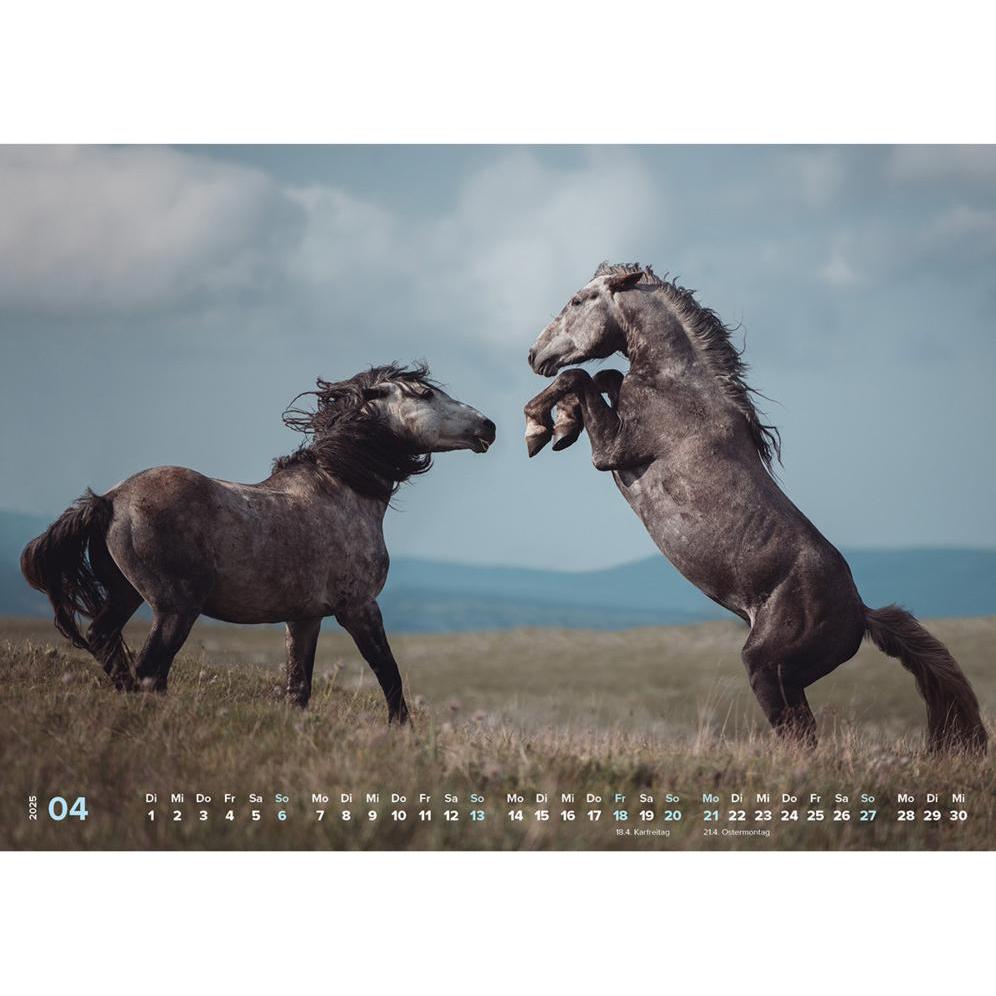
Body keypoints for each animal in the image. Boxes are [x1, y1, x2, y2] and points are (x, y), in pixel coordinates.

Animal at [22, 363, 496, 723]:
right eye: (425, 394)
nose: (487, 427)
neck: (342, 489)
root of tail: (111, 500)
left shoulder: (304, 618)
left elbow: (298, 687)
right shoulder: (359, 608)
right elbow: (388, 673)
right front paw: (402, 732)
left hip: (127, 594)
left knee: (107, 642)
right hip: (175, 609)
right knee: (148, 669)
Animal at [525, 262, 987, 753]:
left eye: (578, 300)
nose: (534, 355)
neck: (677, 386)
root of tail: (862, 614)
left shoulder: (613, 450)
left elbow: (583, 378)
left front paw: (539, 427)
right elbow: (605, 376)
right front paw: (562, 426)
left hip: (767, 669)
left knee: (799, 738)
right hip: (787, 679)